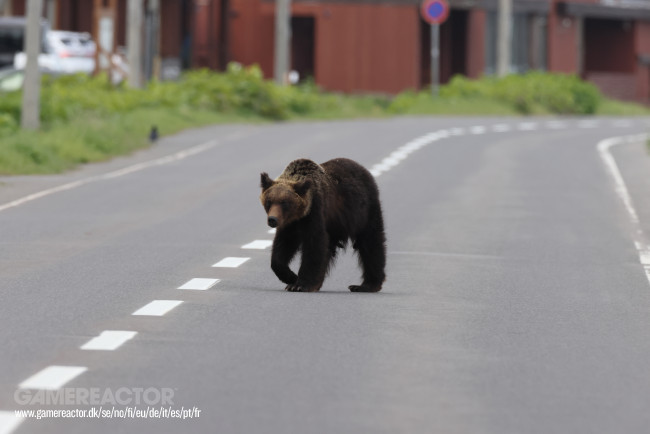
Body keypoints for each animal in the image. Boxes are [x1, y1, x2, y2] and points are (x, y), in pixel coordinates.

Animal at [259, 158, 386, 292]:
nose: (272, 219)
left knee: (371, 242)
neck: (300, 216)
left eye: (284, 203)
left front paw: (300, 284)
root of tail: (363, 169)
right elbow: (283, 246)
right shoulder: (290, 224)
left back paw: (366, 285)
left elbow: (314, 244)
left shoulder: (316, 212)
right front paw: (291, 277)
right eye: (269, 201)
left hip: (364, 211)